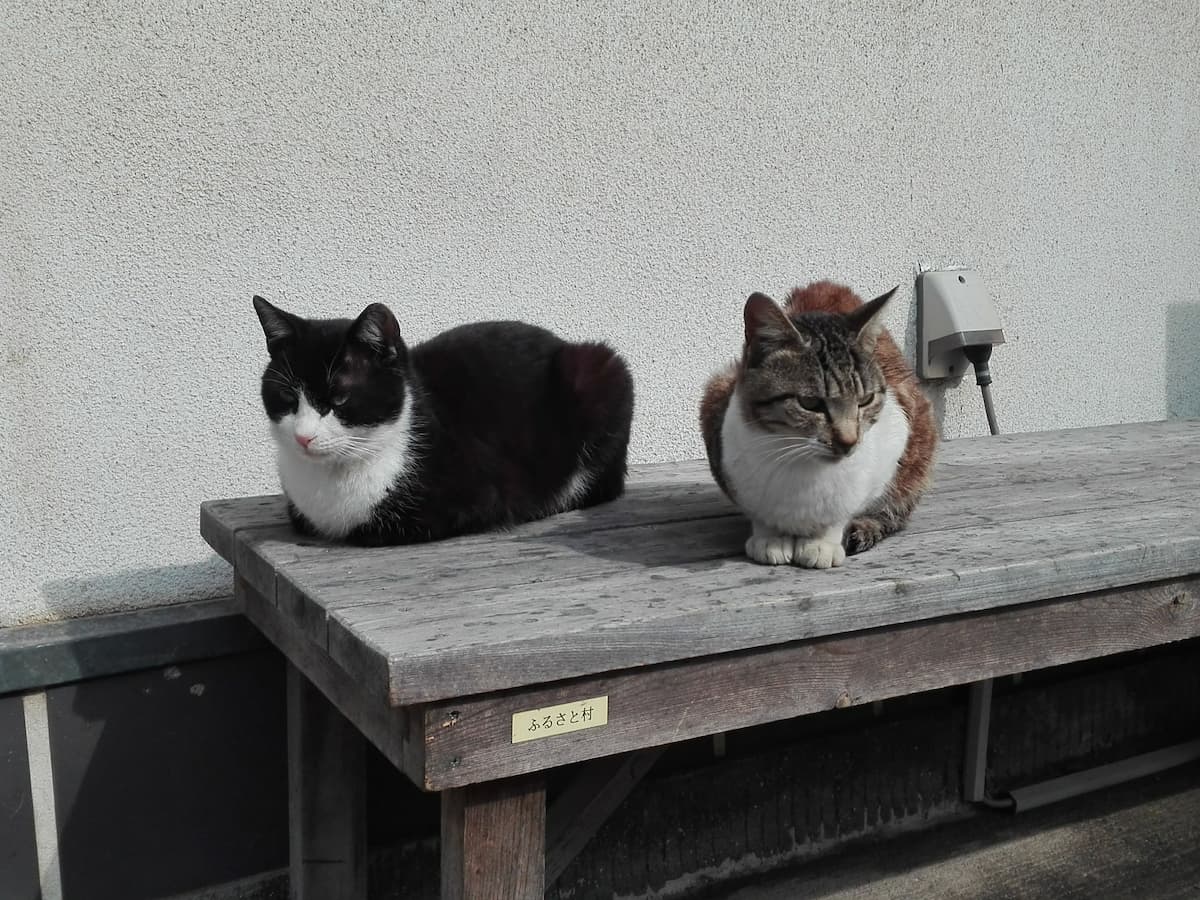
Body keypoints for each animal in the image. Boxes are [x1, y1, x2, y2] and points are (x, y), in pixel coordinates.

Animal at [253, 300, 638, 547]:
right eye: (287, 398)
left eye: (339, 399)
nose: (303, 437)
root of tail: (563, 341)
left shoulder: (484, 493)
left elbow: (372, 530)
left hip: (603, 369)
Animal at [700, 280, 936, 571]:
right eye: (810, 402)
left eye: (865, 400)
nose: (848, 441)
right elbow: (760, 513)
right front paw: (770, 536)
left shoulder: (896, 436)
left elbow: (842, 512)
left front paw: (823, 541)